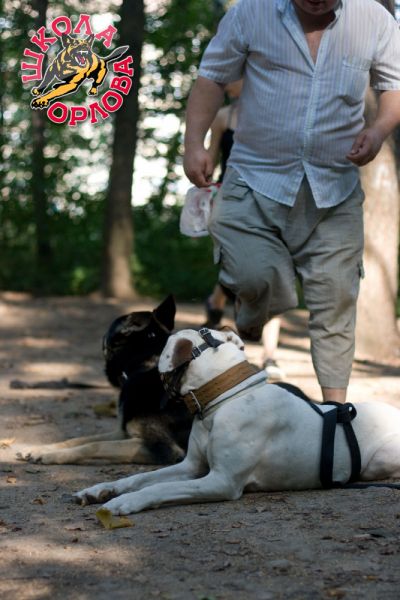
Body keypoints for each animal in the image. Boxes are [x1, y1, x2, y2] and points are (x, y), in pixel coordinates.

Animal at [20, 296, 192, 465]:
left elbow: (95, 446)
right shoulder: (123, 433)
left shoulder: (163, 448)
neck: (145, 365)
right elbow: (81, 439)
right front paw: (41, 449)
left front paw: (52, 456)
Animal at [74, 327, 400, 515]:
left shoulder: (221, 481)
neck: (222, 401)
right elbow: (139, 478)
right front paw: (101, 489)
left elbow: (157, 489)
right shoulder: (191, 466)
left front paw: (123, 502)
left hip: (381, 460)